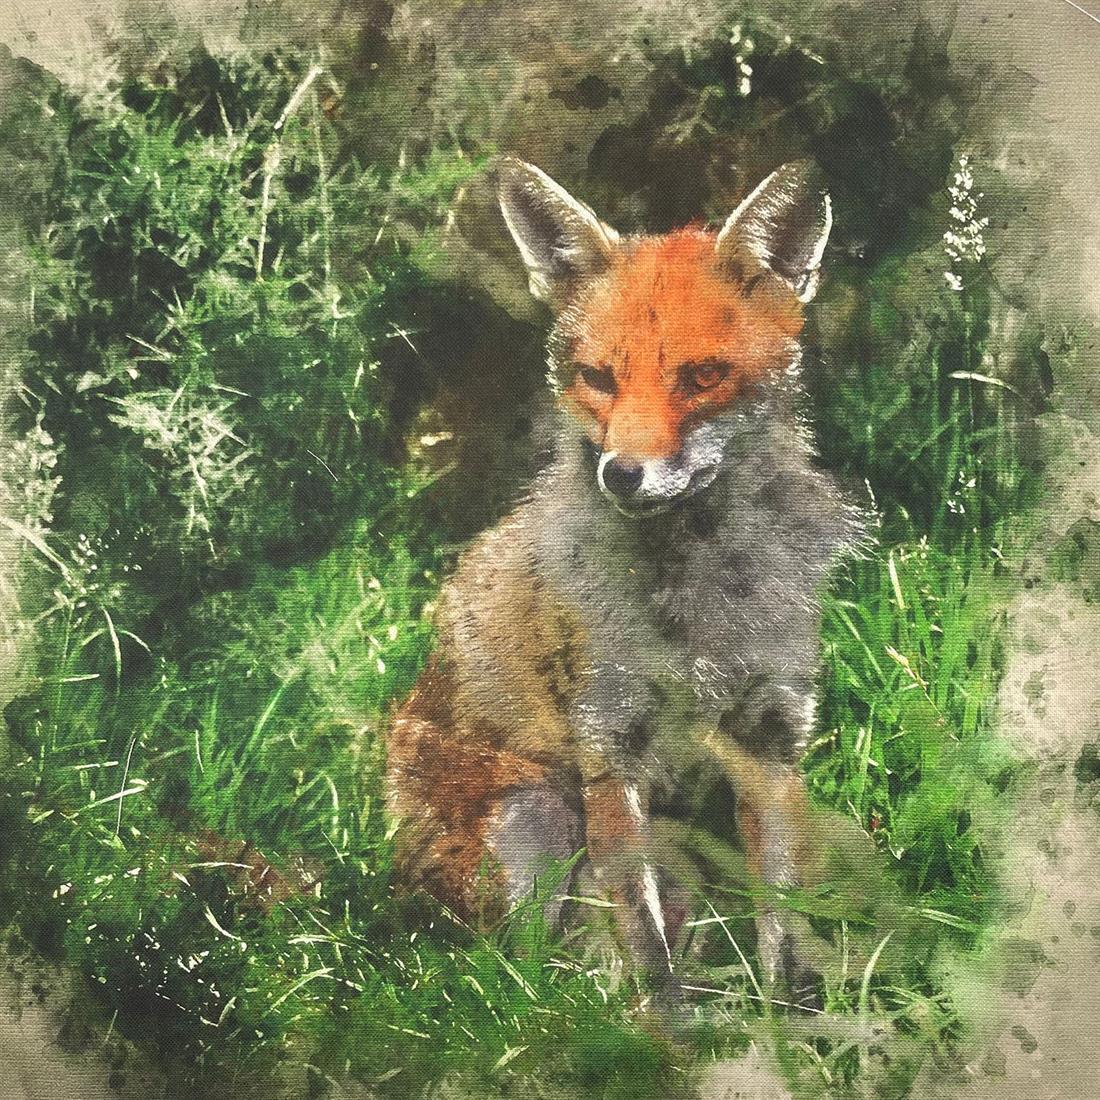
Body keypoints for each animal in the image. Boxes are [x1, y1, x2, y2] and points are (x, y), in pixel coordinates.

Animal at [385, 156, 864, 999]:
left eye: (701, 377)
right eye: (597, 378)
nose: (621, 474)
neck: (701, 597)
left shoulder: (770, 738)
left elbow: (782, 926)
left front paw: (793, 1020)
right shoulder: (611, 750)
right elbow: (646, 952)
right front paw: (665, 1027)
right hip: (533, 818)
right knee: (525, 974)